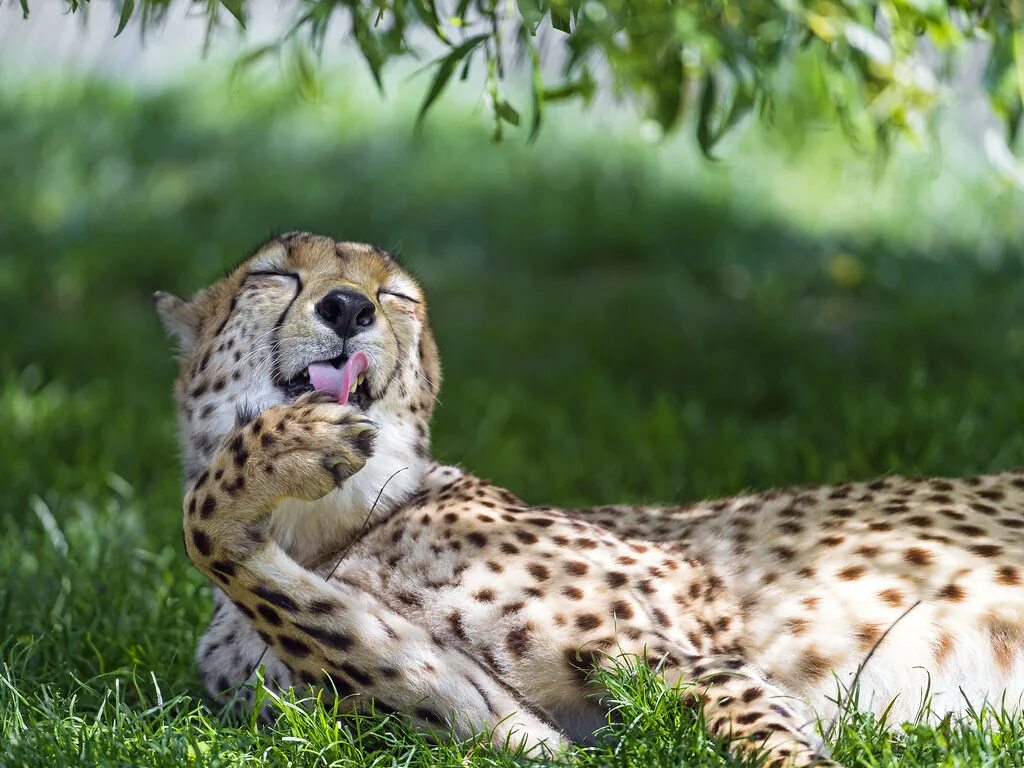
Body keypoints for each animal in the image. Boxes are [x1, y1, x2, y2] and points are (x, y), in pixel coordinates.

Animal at [155, 231, 1024, 765]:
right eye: (275, 275)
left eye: (397, 296)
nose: (348, 307)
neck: (320, 527)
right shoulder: (499, 728)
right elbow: (246, 562)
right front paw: (274, 455)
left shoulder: (678, 642)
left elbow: (762, 735)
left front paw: (275, 451)